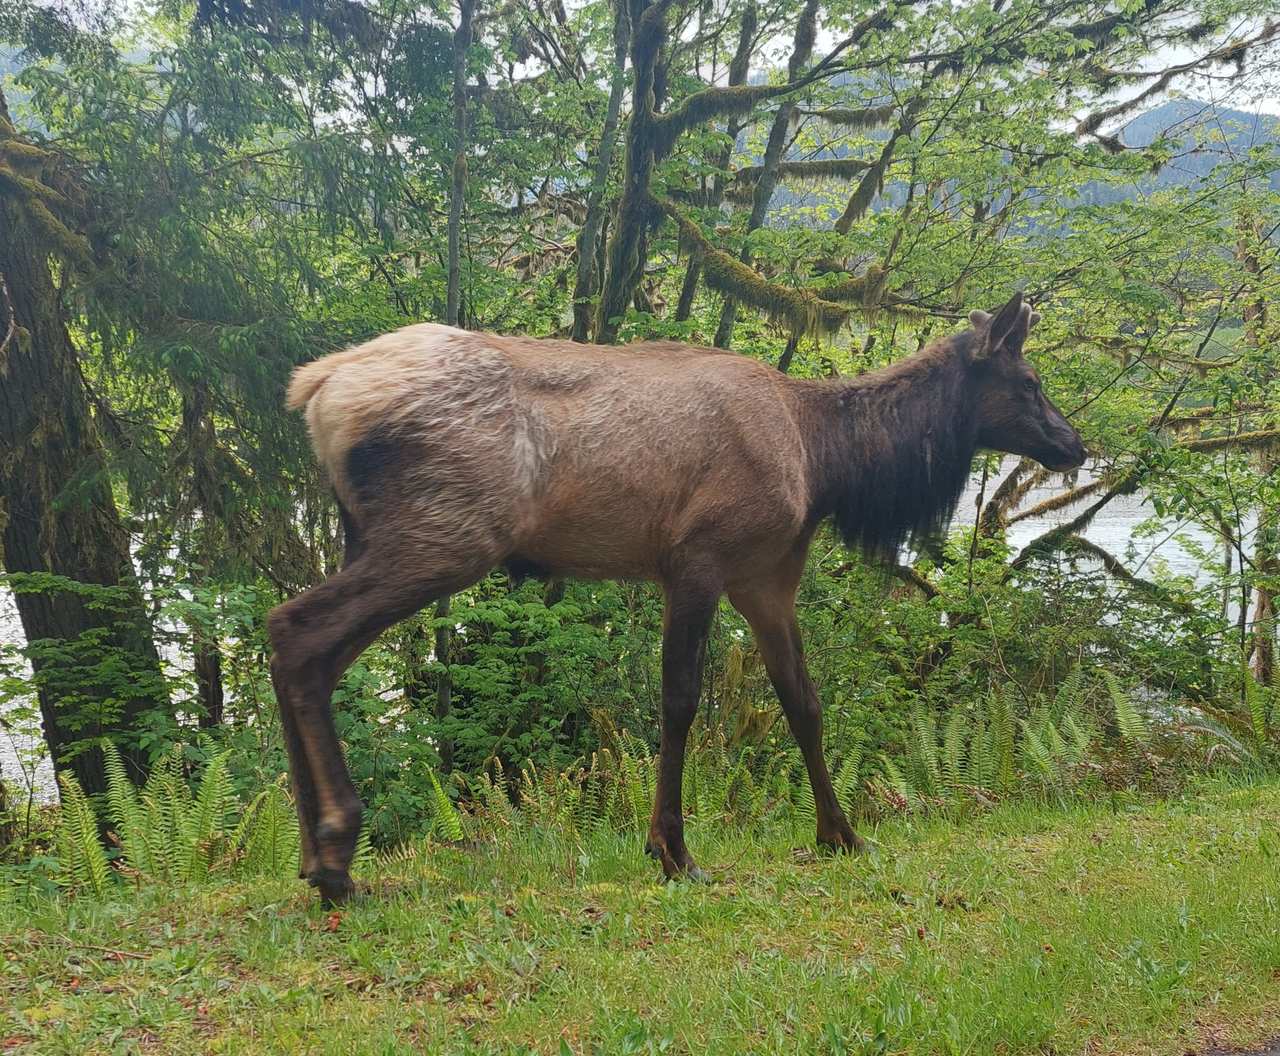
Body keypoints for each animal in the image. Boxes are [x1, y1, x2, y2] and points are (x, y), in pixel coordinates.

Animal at [270, 290, 1086, 904]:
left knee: (300, 646)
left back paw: (315, 855)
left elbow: (804, 702)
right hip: (446, 534)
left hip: (372, 534)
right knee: (297, 627)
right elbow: (680, 700)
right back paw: (337, 853)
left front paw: (842, 832)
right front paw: (672, 848)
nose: (1075, 443)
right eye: (1030, 381)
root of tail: (315, 390)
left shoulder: (767, 579)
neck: (827, 464)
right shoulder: (698, 558)